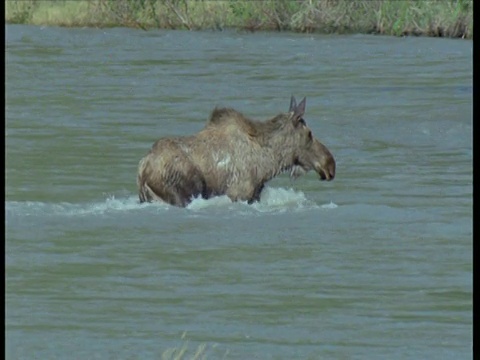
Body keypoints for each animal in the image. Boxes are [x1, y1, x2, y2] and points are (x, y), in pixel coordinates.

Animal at [137, 96, 336, 208]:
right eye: (309, 133)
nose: (330, 165)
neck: (268, 164)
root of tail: (142, 170)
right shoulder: (239, 194)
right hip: (179, 195)